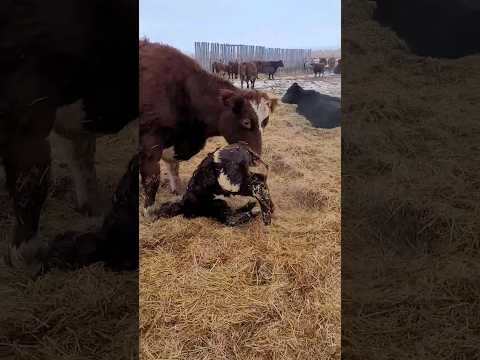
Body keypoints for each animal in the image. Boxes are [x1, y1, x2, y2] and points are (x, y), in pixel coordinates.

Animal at [139, 41, 278, 218]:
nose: (256, 159)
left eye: (265, 122)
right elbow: (152, 178)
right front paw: (149, 210)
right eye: (246, 122)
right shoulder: (150, 142)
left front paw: (177, 191)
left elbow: (174, 168)